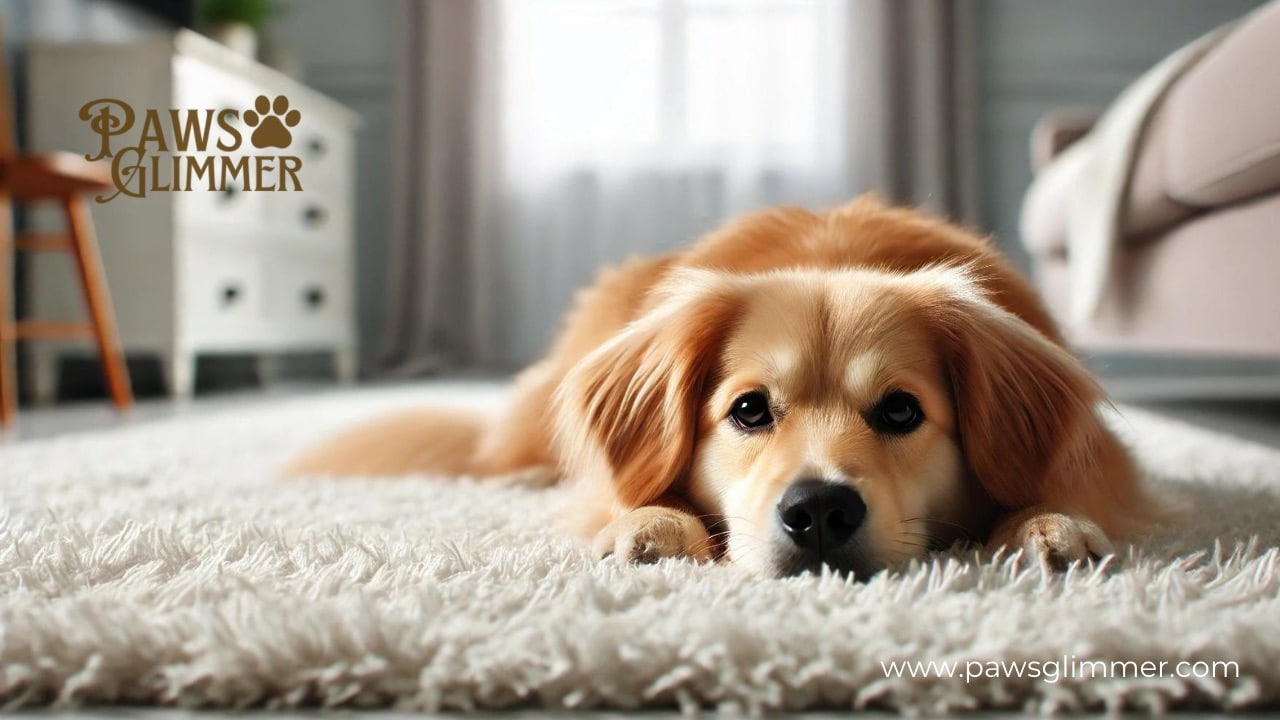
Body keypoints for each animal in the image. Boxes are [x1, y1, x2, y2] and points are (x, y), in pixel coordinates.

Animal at [293, 196, 1162, 576]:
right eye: (748, 410)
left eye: (900, 410)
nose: (819, 512)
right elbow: (627, 496)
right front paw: (652, 524)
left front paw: (1045, 523)